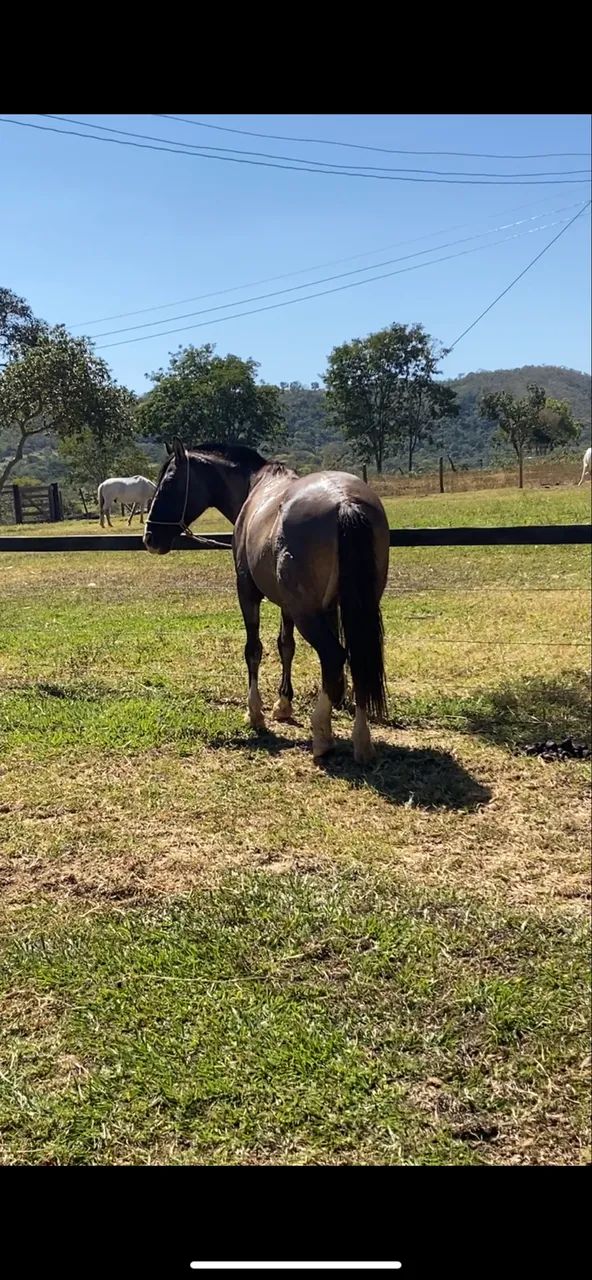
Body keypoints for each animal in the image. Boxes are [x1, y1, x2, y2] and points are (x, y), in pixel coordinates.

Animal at [144, 438, 390, 764]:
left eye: (169, 483)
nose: (149, 538)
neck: (256, 487)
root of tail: (344, 501)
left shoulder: (248, 592)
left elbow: (254, 650)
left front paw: (255, 713)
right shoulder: (291, 605)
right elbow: (286, 646)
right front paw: (283, 704)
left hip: (308, 614)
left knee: (334, 657)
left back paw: (322, 736)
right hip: (356, 609)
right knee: (357, 659)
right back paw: (362, 741)